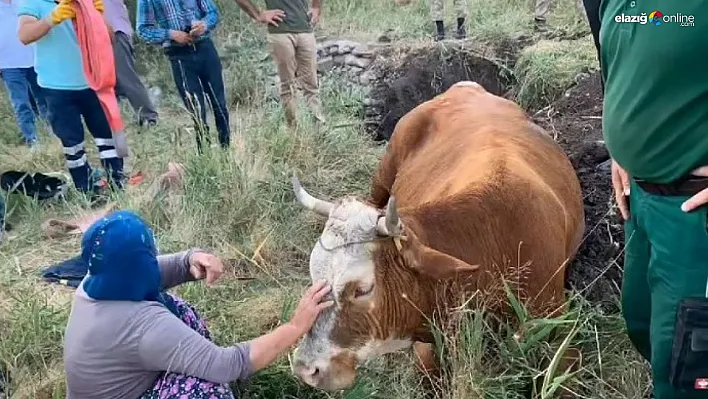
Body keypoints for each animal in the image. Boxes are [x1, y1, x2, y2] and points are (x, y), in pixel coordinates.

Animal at [290, 80, 588, 390]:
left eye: (362, 289)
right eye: (314, 276)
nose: (306, 368)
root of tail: (465, 86)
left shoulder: (559, 328)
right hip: (383, 173)